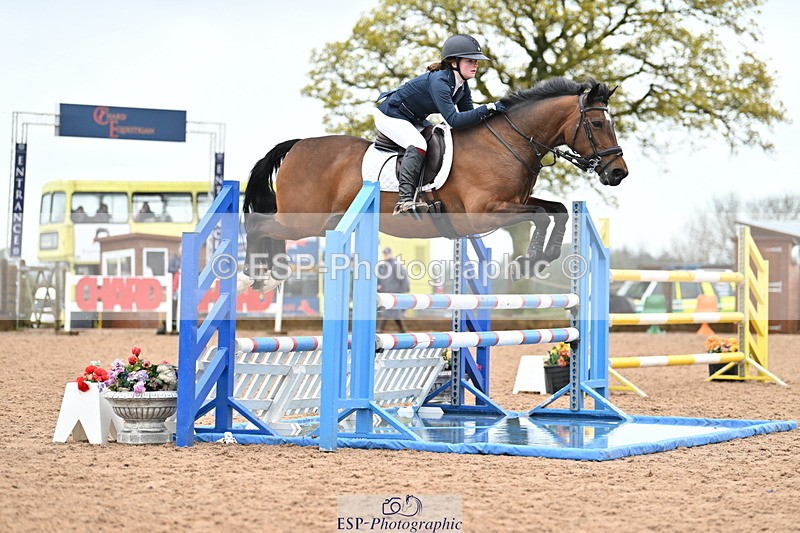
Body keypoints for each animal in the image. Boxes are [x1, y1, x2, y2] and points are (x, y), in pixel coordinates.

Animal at [242, 77, 628, 291]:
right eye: (596, 124)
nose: (618, 173)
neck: (507, 142)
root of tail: (297, 145)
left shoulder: (515, 202)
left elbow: (557, 210)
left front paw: (539, 260)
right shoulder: (484, 213)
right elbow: (541, 216)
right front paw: (528, 262)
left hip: (319, 222)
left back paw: (268, 274)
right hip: (302, 221)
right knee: (258, 224)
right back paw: (258, 276)